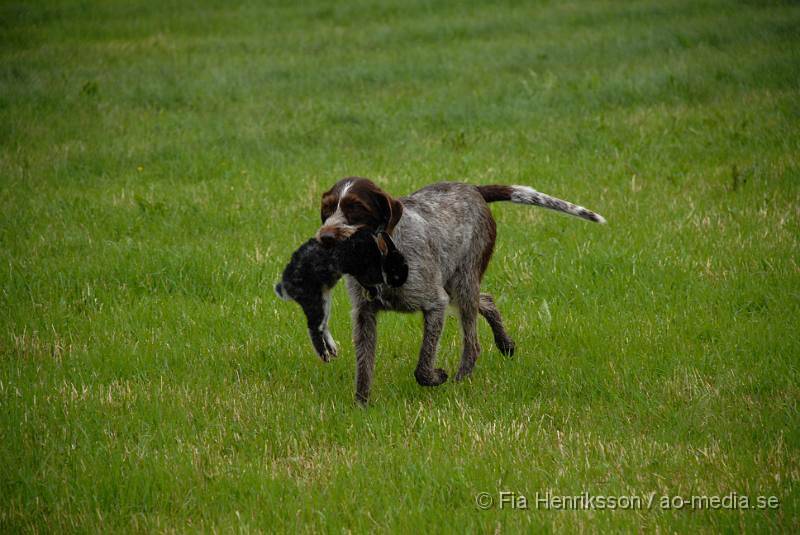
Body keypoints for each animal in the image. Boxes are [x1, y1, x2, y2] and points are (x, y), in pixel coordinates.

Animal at [278, 228, 410, 362]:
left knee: (323, 325)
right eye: (395, 270)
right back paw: (324, 355)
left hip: (324, 301)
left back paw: (332, 349)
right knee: (314, 328)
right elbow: (367, 283)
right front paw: (374, 293)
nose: (400, 283)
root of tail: (286, 286)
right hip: (315, 302)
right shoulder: (362, 273)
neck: (379, 260)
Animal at [316, 178, 604, 404]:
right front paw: (361, 406)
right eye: (327, 209)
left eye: (356, 208)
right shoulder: (364, 314)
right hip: (457, 284)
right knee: (486, 300)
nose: (325, 237)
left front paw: (437, 377)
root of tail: (473, 188)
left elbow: (423, 367)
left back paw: (461, 379)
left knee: (473, 343)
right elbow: (364, 367)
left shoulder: (435, 303)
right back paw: (505, 343)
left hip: (463, 281)